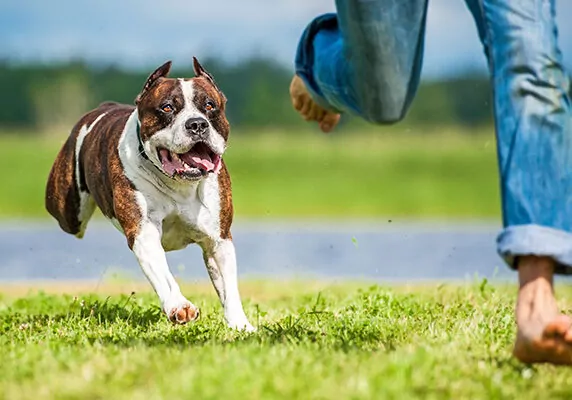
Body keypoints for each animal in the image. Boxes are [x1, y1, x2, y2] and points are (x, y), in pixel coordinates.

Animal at [45, 57, 256, 332]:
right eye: (167, 107)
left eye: (210, 105)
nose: (197, 124)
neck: (180, 185)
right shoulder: (144, 233)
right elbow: (164, 276)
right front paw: (180, 306)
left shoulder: (218, 240)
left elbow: (229, 288)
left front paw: (240, 325)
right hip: (69, 213)